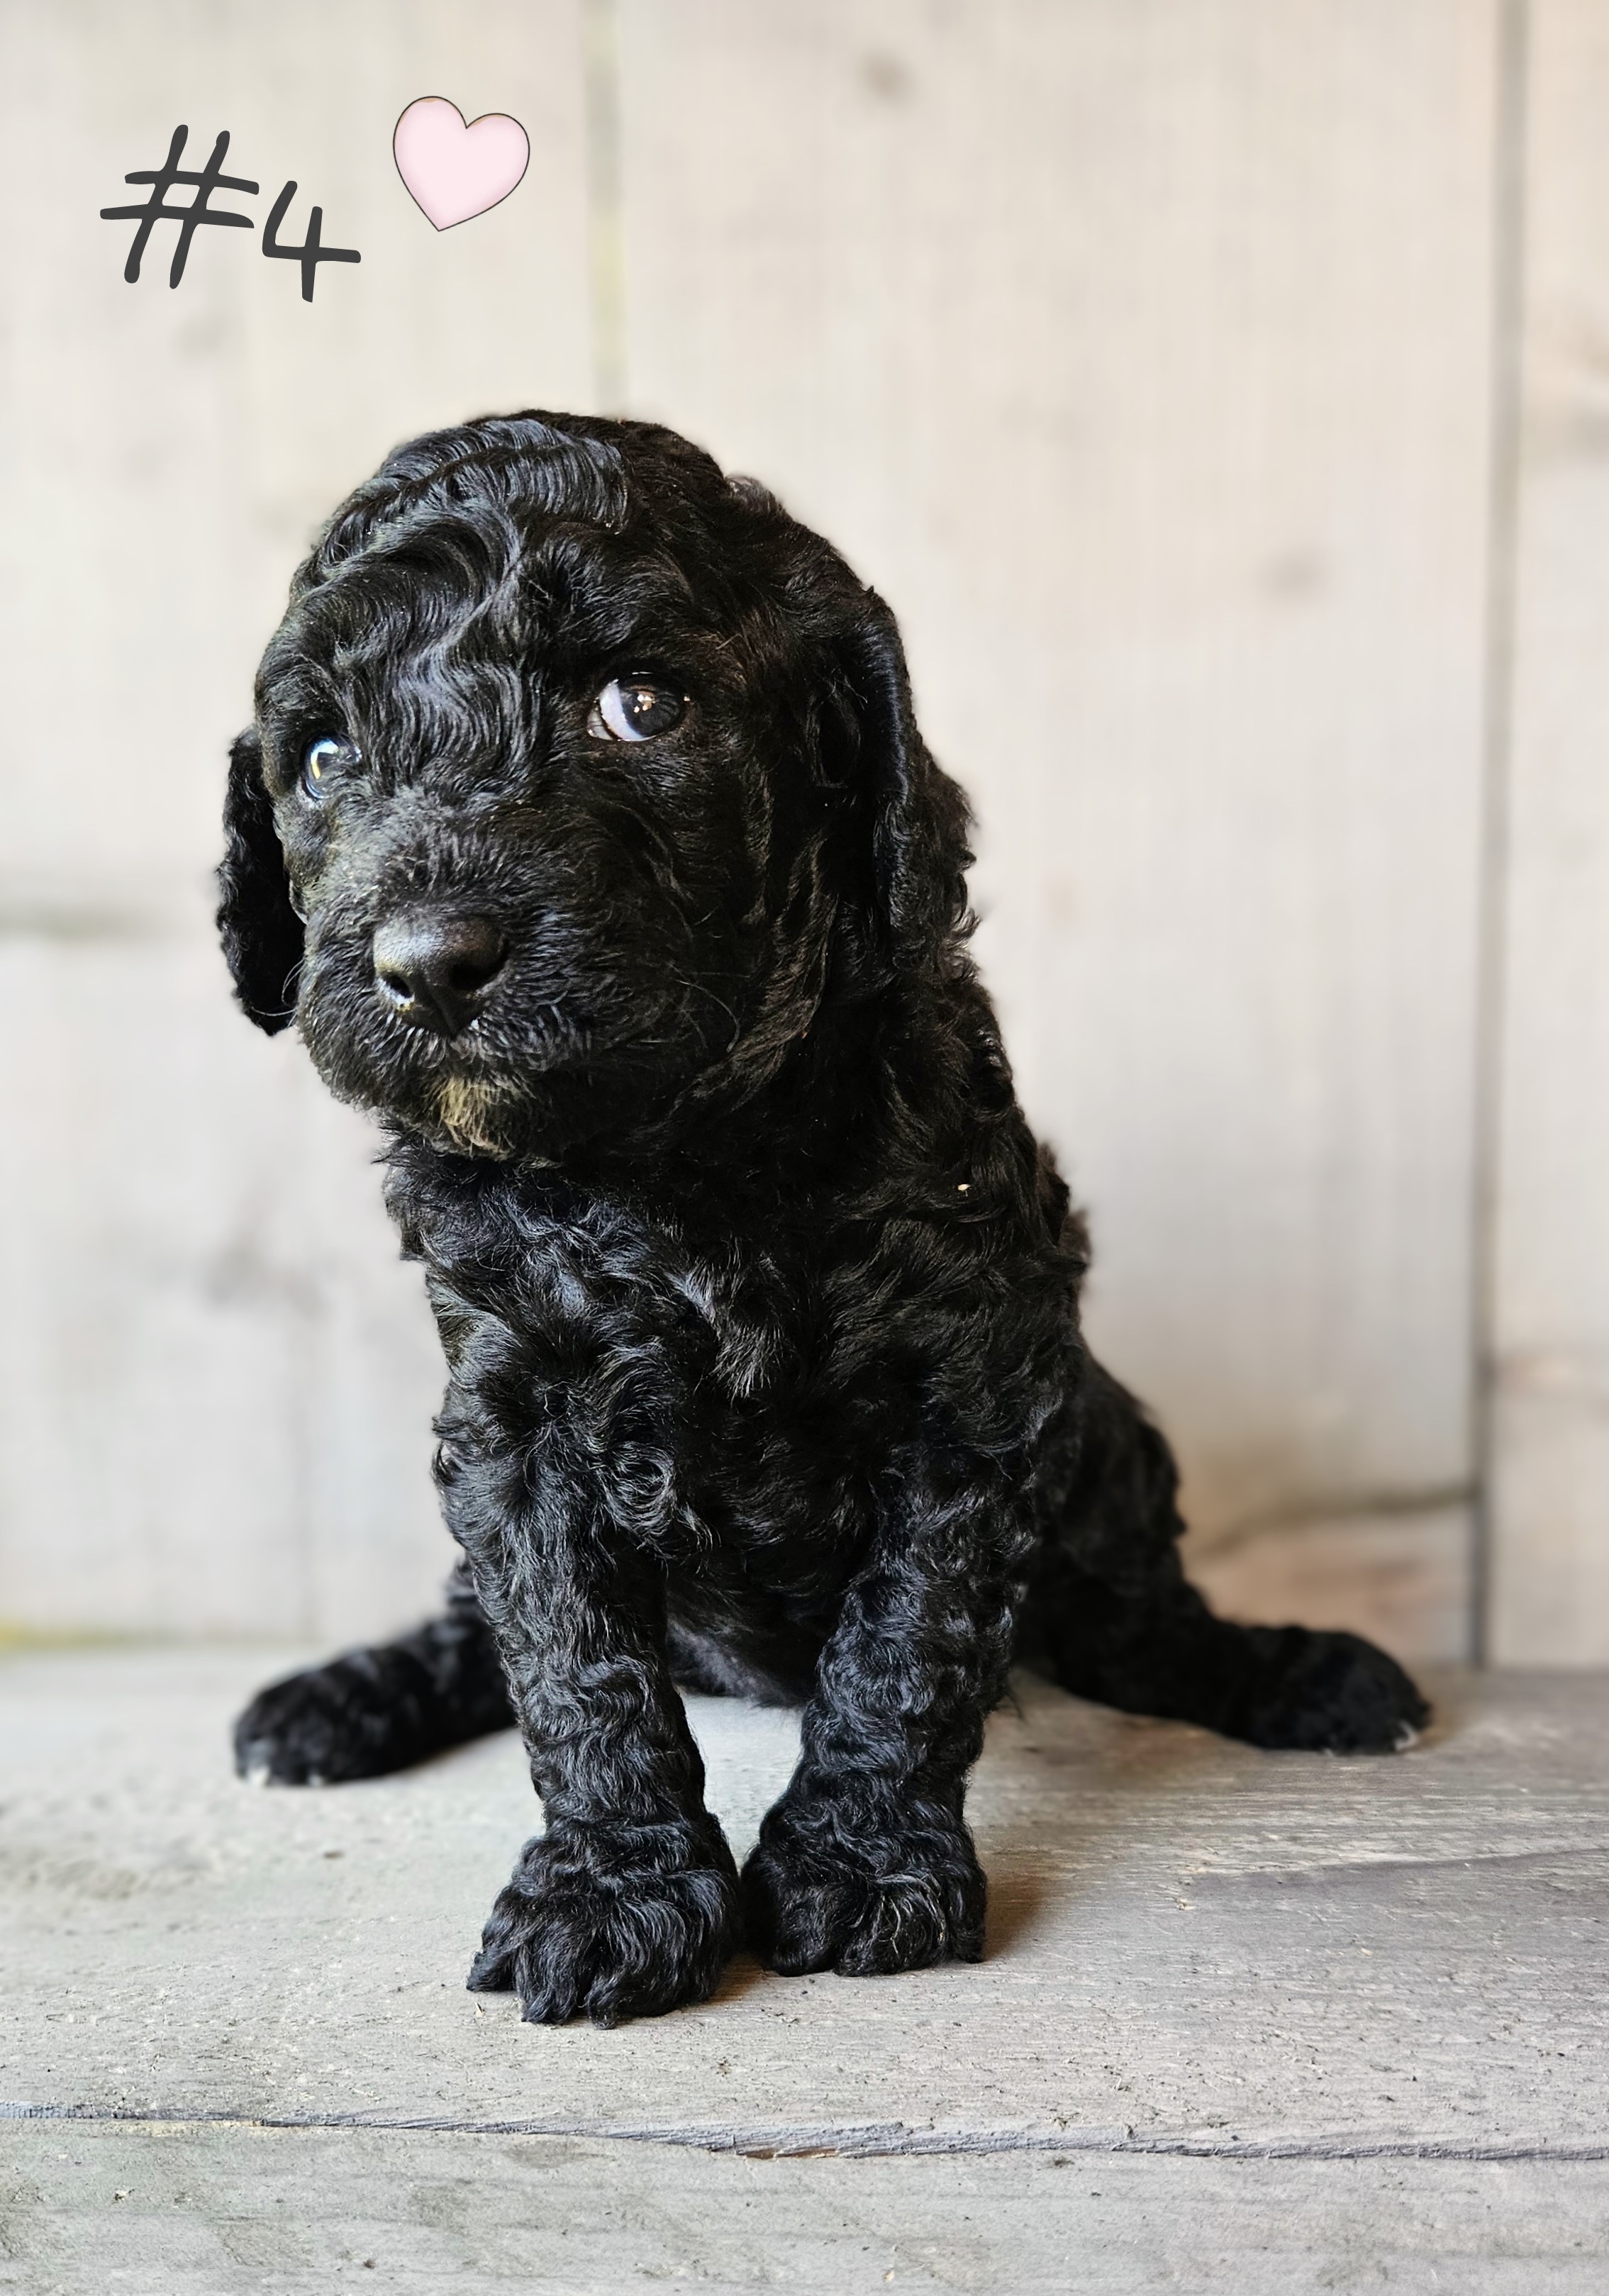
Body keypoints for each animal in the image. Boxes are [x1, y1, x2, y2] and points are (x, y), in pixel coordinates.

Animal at [216, 408, 1432, 2029]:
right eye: (325, 755)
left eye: (641, 704)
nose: (427, 961)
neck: (669, 1159)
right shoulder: (511, 1410)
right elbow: (571, 1657)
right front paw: (612, 1891)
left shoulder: (972, 1386)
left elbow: (908, 1638)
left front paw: (859, 1865)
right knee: (477, 1615)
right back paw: (337, 1698)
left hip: (1104, 1433)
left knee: (1135, 1618)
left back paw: (1298, 1673)